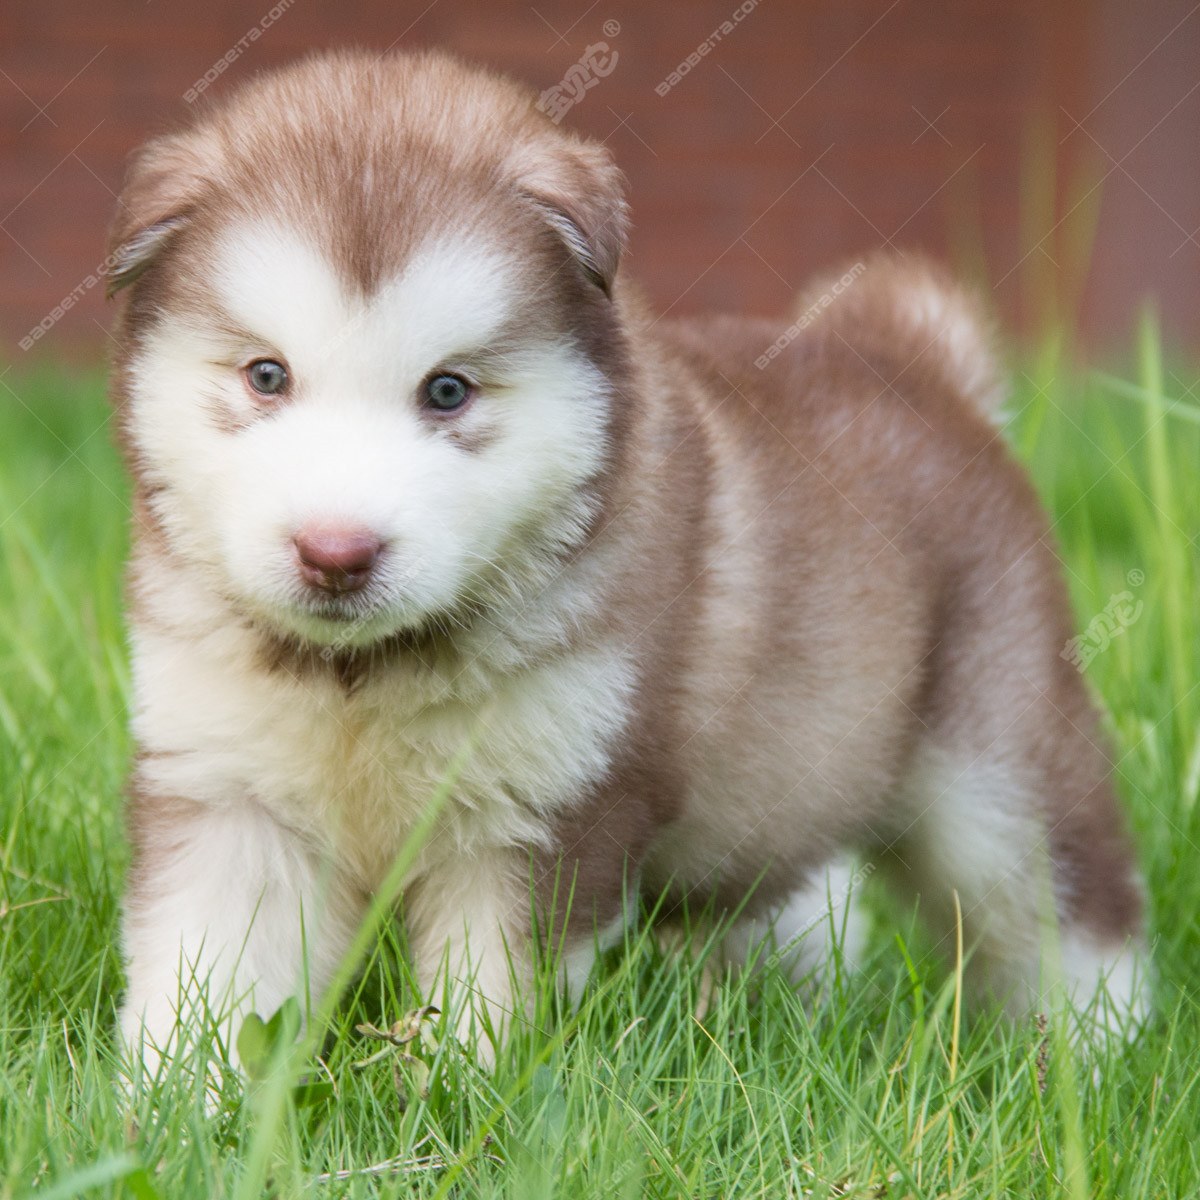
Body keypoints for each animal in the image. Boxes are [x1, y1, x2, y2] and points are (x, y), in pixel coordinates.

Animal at [108, 49, 1147, 1080]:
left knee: (1069, 908)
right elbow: (205, 972)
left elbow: (488, 1000)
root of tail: (913, 353)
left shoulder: (546, 810)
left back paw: (1097, 1060)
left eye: (448, 391)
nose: (336, 553)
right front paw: (170, 1101)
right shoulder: (224, 791)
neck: (363, 677)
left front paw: (458, 1096)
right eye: (266, 376)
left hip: (998, 761)